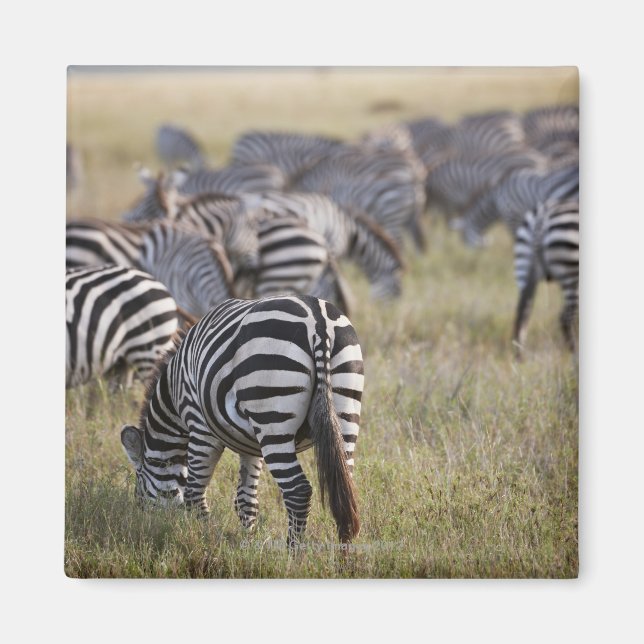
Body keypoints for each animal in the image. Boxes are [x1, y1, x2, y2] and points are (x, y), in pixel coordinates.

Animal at [120, 294, 364, 548]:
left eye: (140, 493)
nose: (148, 526)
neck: (173, 395)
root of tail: (318, 322)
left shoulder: (199, 426)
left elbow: (193, 493)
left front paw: (206, 539)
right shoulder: (251, 445)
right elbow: (246, 500)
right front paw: (249, 542)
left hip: (273, 416)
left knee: (298, 491)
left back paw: (293, 553)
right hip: (345, 410)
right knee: (345, 488)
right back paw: (344, 555)